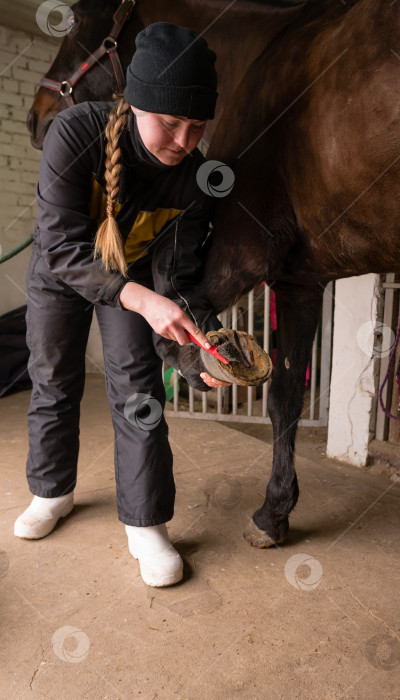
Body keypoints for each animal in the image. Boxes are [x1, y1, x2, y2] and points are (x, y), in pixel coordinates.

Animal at [25, 0, 400, 548]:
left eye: (71, 19)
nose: (37, 118)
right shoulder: (300, 282)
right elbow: (286, 397)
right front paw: (276, 513)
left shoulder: (245, 253)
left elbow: (179, 327)